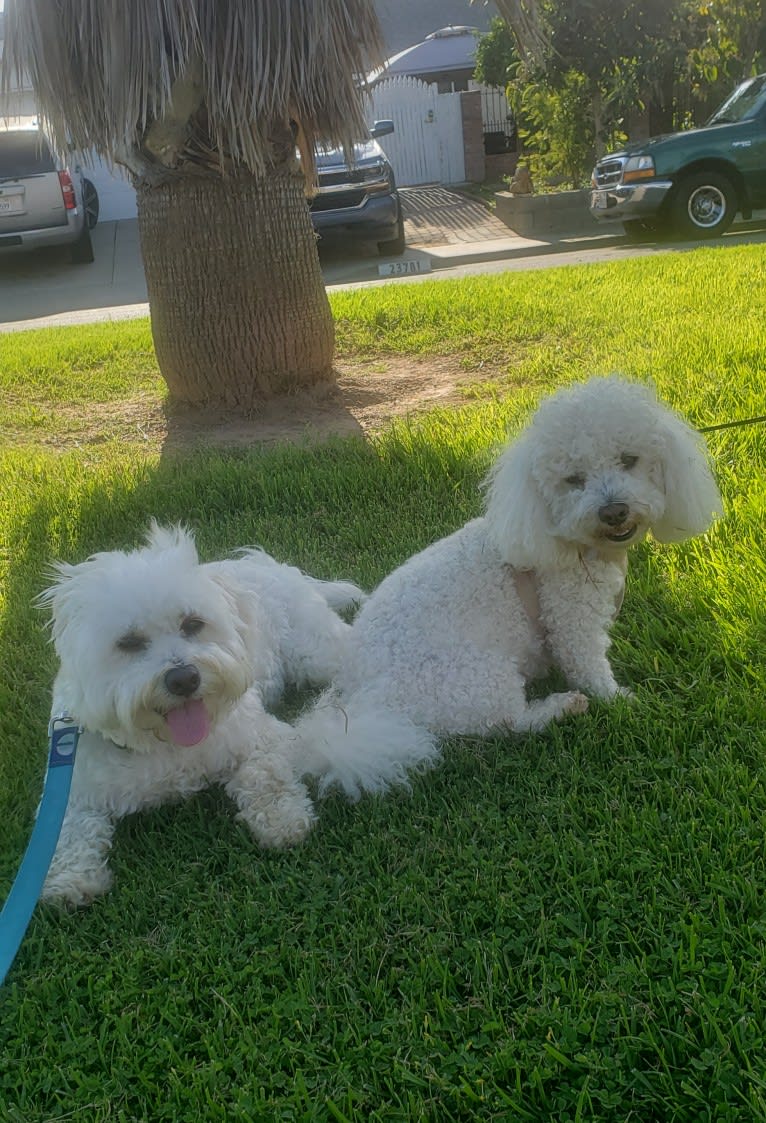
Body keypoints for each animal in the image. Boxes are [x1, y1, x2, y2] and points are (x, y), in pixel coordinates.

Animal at [40, 530, 435, 907]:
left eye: (193, 623)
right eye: (129, 642)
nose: (184, 679)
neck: (167, 744)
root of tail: (267, 564)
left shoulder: (265, 735)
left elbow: (266, 775)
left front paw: (282, 821)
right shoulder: (70, 788)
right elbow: (64, 834)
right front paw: (70, 880)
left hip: (319, 653)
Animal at [292, 377, 723, 772]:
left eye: (629, 459)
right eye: (573, 480)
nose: (613, 511)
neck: (572, 543)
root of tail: (359, 699)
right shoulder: (572, 620)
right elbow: (589, 667)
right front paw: (619, 700)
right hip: (479, 677)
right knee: (509, 723)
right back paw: (560, 707)